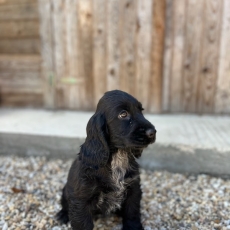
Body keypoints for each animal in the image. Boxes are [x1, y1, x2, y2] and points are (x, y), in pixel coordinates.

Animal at [56, 90, 156, 230]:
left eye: (141, 110)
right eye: (123, 114)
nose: (152, 132)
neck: (118, 157)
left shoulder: (133, 189)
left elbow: (132, 213)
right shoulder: (81, 200)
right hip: (66, 190)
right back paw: (63, 215)